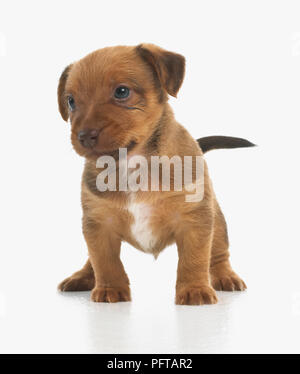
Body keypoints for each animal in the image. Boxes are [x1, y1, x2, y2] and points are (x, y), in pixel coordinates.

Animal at [56, 45, 253, 306]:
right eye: (70, 101)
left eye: (121, 92)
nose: (85, 136)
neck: (132, 165)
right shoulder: (98, 225)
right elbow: (105, 261)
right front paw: (110, 288)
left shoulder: (194, 221)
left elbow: (194, 259)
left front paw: (195, 290)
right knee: (92, 260)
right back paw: (83, 277)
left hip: (217, 223)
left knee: (219, 253)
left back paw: (225, 276)